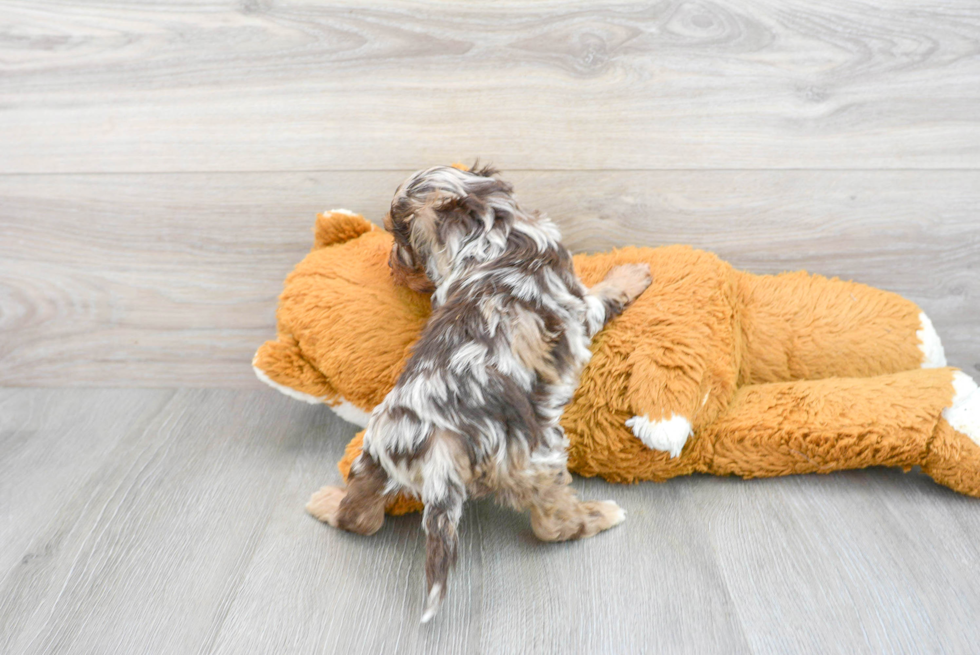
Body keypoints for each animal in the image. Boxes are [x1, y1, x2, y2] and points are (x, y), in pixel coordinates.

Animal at [308, 165, 652, 624]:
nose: (390, 267)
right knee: (553, 524)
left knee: (359, 516)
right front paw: (630, 274)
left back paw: (327, 502)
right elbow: (604, 295)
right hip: (540, 455)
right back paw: (600, 515)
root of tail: (438, 447)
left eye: (399, 240)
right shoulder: (578, 305)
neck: (491, 233)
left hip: (377, 451)